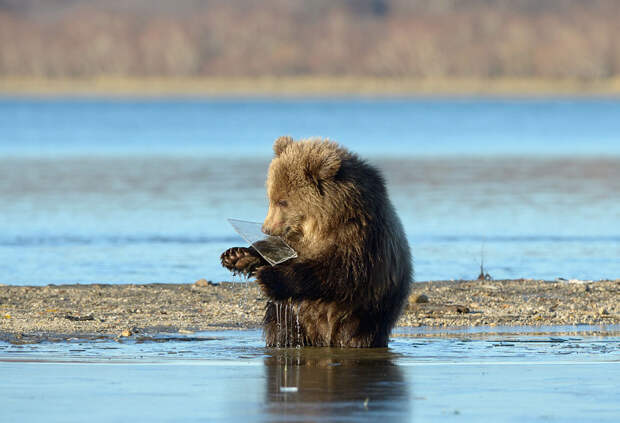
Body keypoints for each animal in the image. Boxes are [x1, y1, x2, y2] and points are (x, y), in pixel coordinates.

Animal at [220, 137, 414, 348]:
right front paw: (237, 256)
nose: (266, 228)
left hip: (365, 315)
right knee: (282, 330)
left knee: (353, 333)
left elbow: (338, 273)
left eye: (283, 201)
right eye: (270, 197)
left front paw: (268, 277)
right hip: (292, 316)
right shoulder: (294, 241)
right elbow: (276, 251)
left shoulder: (359, 238)